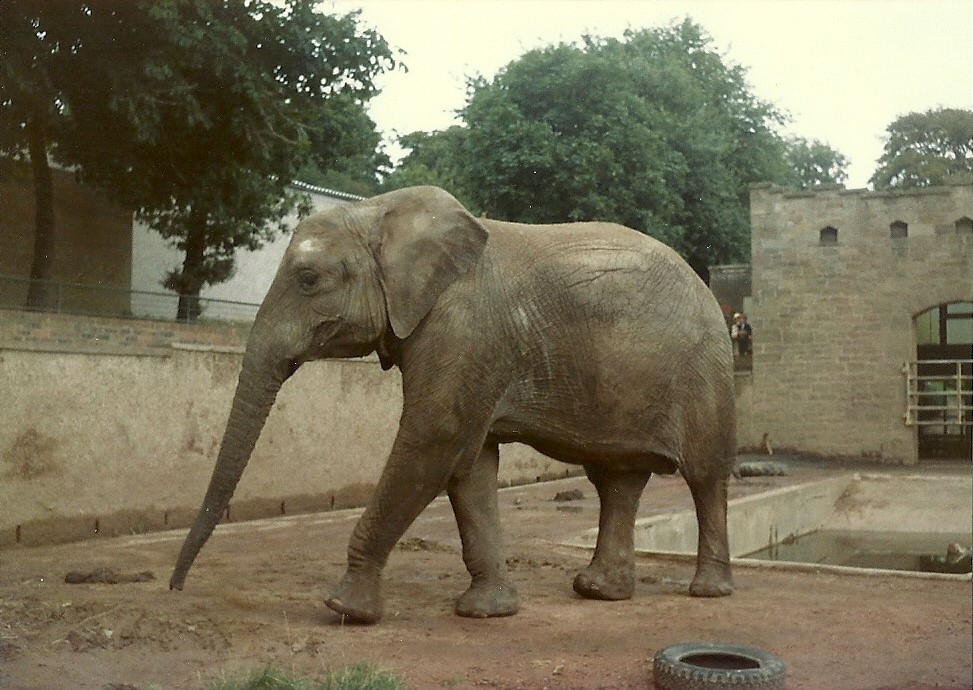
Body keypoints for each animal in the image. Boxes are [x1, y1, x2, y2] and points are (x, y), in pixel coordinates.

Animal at [169, 185, 735, 623]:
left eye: (309, 279)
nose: (175, 588)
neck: (380, 212)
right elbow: (470, 464)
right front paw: (486, 612)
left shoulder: (463, 329)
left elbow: (433, 438)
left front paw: (344, 609)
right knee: (617, 479)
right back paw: (598, 591)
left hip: (705, 369)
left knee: (704, 475)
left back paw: (707, 592)